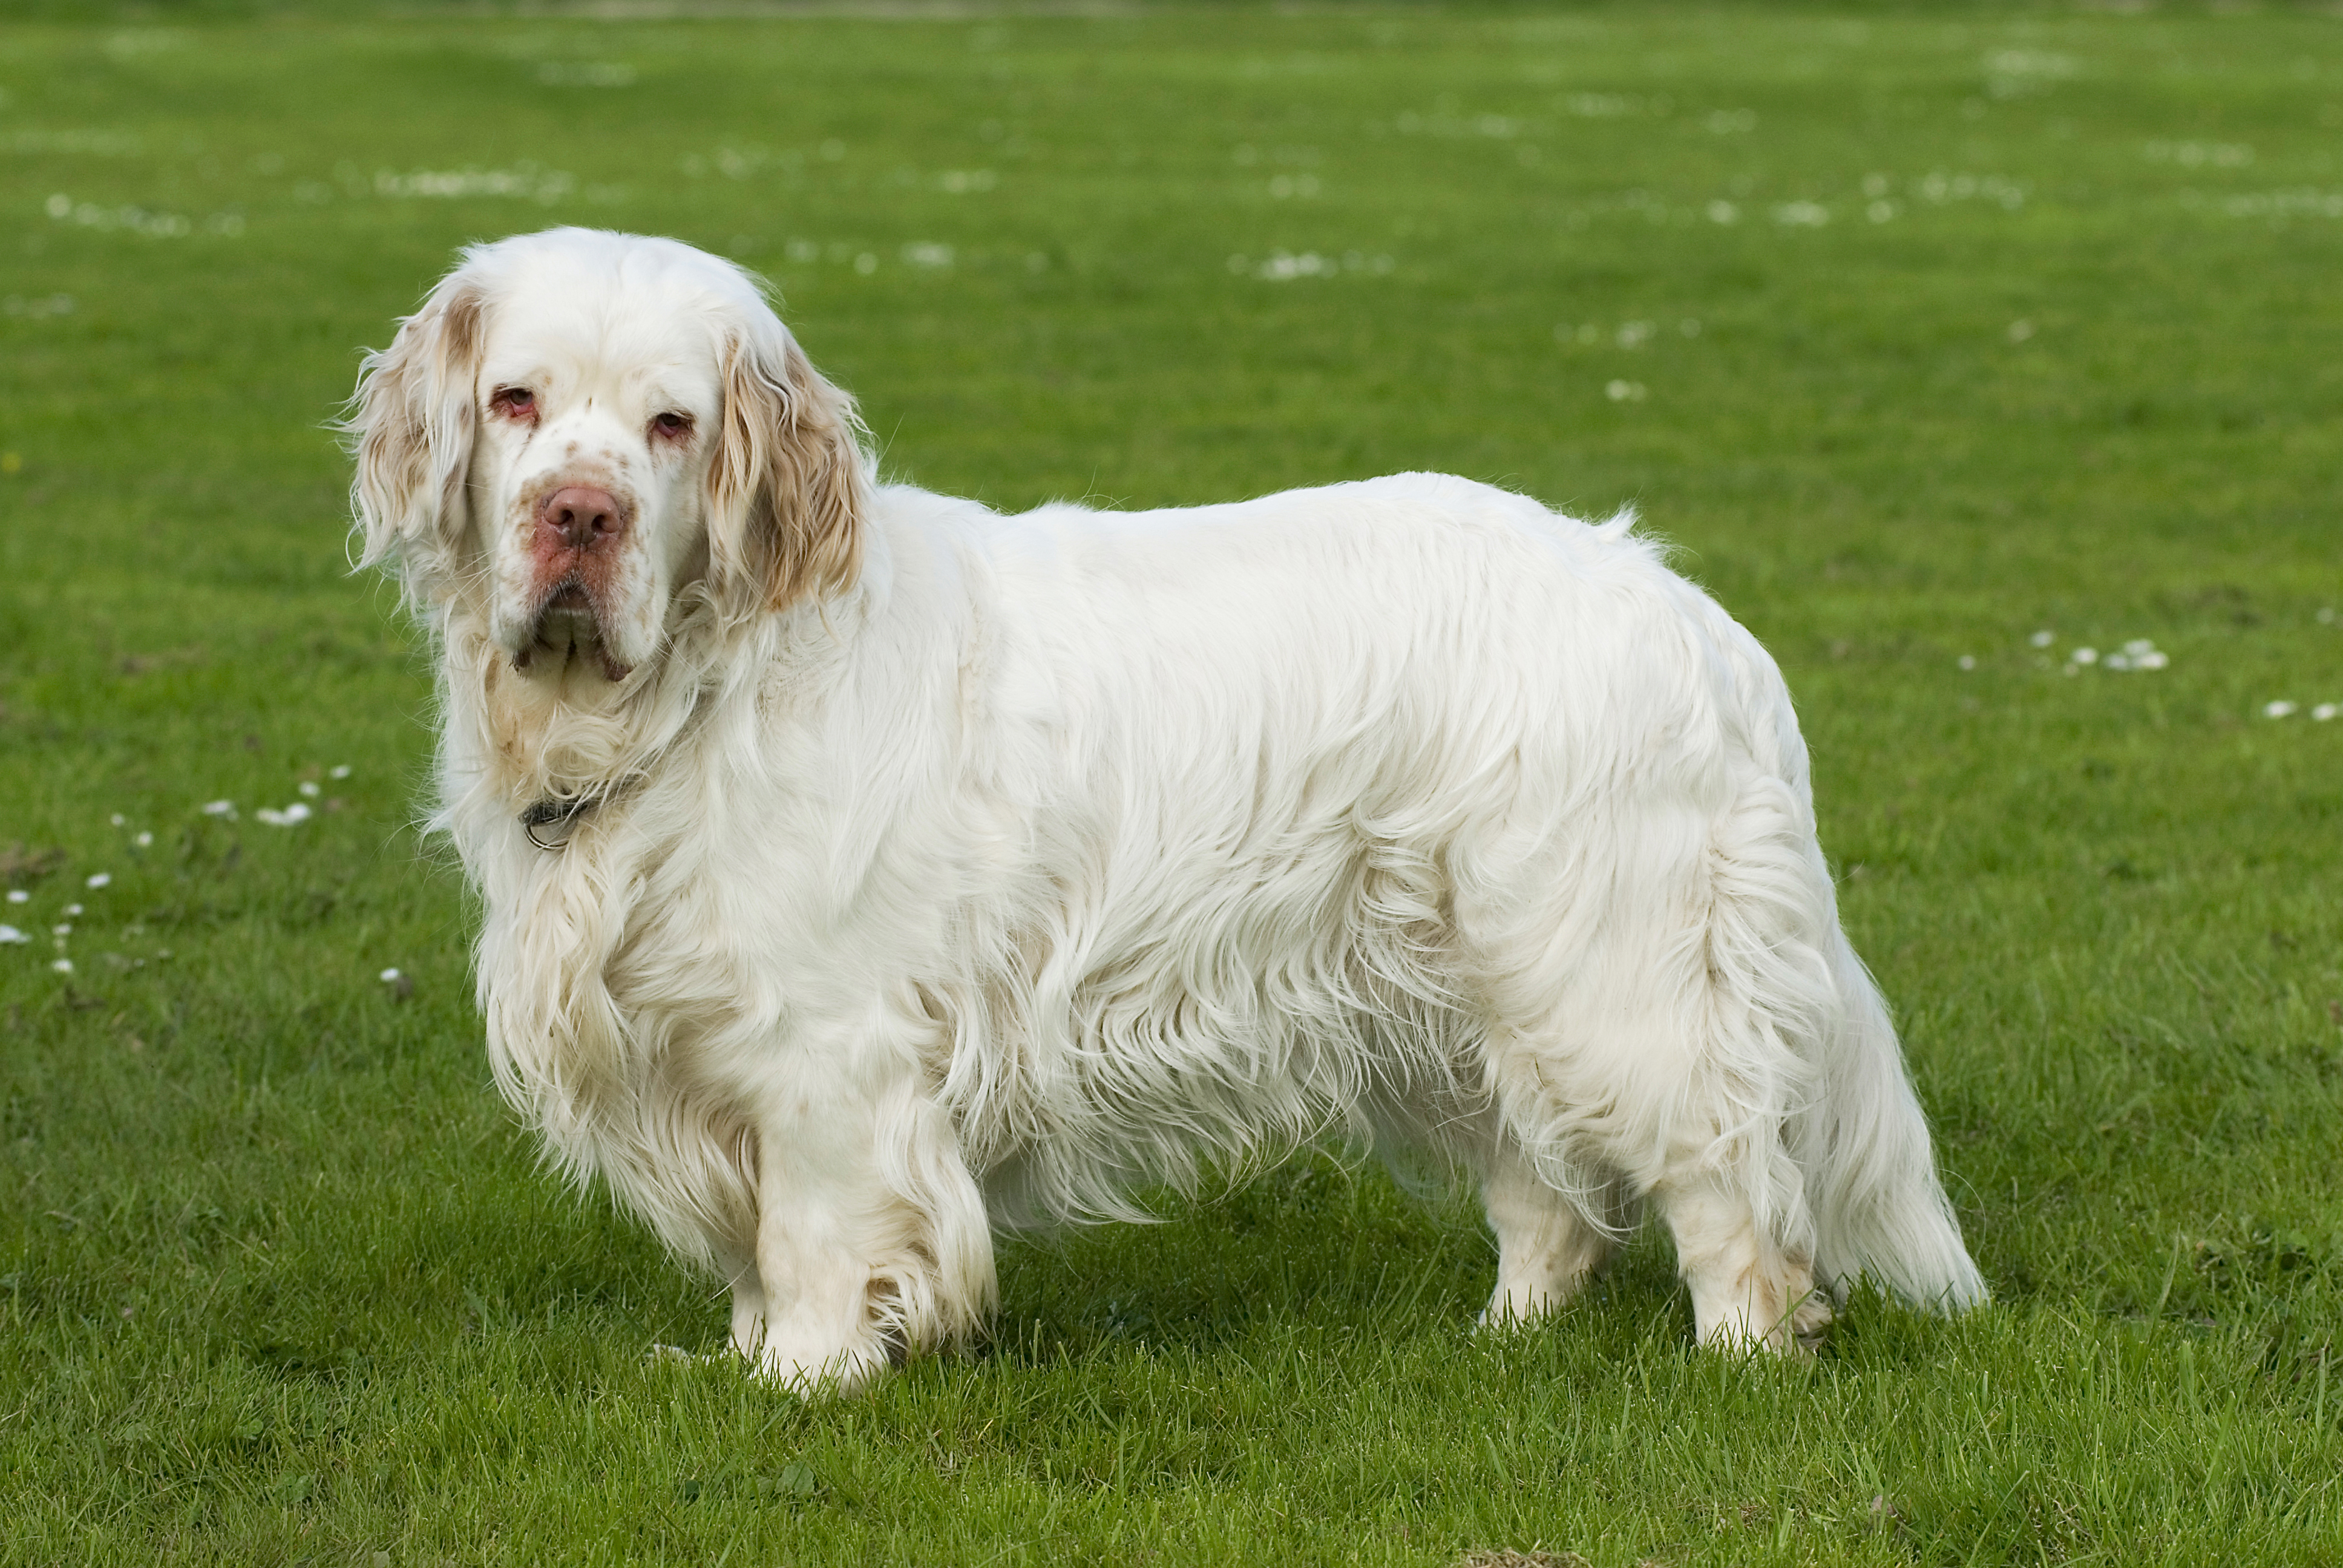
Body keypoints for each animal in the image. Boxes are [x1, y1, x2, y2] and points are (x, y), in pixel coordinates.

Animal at [347, 226, 1987, 1387]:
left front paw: (804, 1380)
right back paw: (1501, 1342)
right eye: (517, 402)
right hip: (1450, 987)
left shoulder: (824, 1048)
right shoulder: (694, 1043)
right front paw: (739, 1361)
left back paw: (1742, 1354)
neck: (689, 694)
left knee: (1724, 1179)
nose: (578, 516)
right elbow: (753, 1248)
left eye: (672, 425)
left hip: (1608, 972)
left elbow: (814, 1233)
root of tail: (1681, 602)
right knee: (1547, 1197)